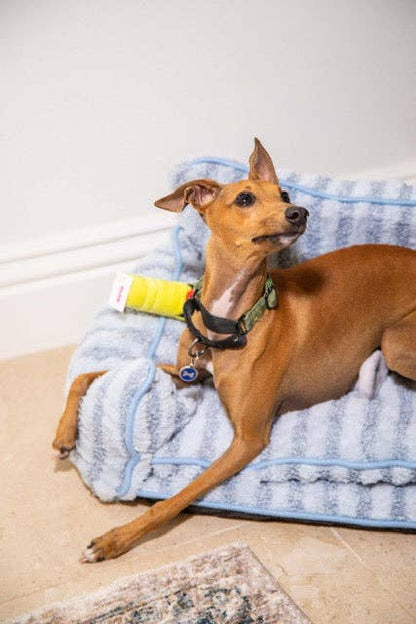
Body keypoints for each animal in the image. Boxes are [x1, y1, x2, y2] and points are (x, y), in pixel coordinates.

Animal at [52, 139, 416, 564]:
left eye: (284, 195)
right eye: (245, 198)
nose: (299, 212)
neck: (232, 320)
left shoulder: (249, 439)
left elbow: (176, 499)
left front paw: (114, 540)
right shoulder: (188, 372)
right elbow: (89, 374)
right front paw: (64, 436)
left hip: (397, 341)